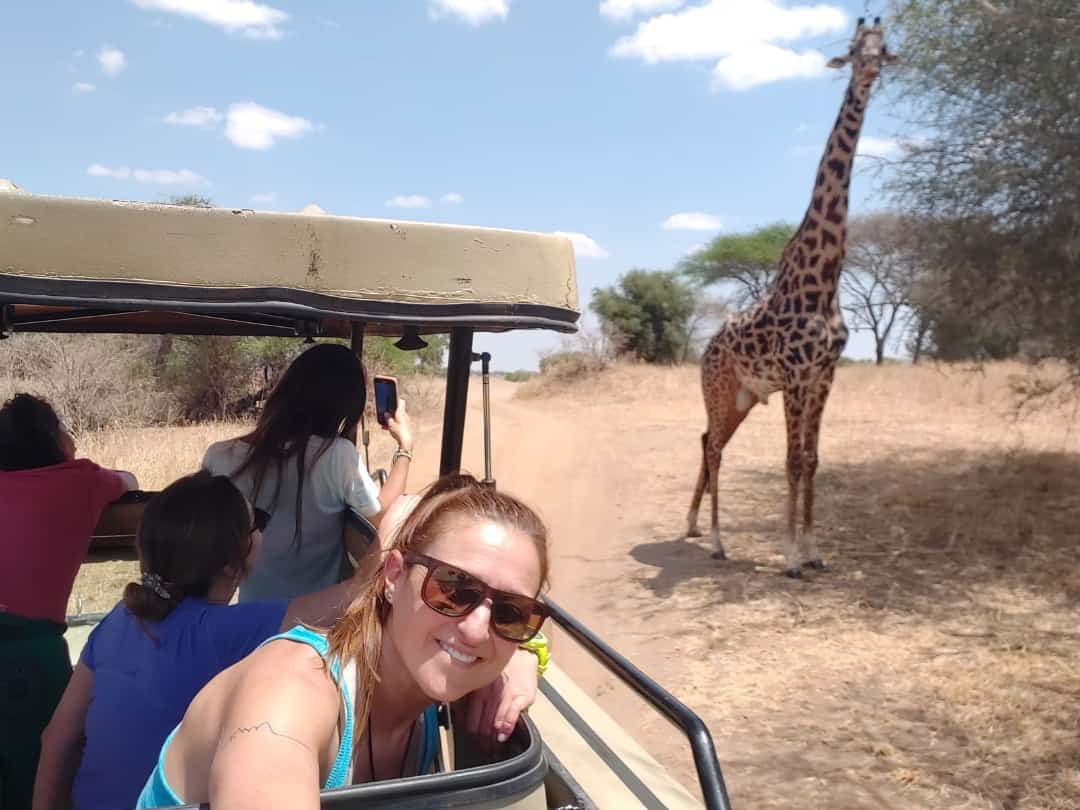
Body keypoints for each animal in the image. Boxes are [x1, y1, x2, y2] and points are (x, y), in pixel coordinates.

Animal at [686, 17, 898, 578]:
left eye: (885, 47)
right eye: (854, 49)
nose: (870, 70)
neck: (824, 279)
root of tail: (706, 348)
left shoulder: (825, 375)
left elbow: (814, 460)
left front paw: (815, 549)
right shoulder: (796, 376)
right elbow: (793, 460)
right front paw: (789, 557)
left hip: (741, 397)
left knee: (707, 440)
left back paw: (692, 525)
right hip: (719, 389)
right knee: (714, 447)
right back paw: (716, 541)